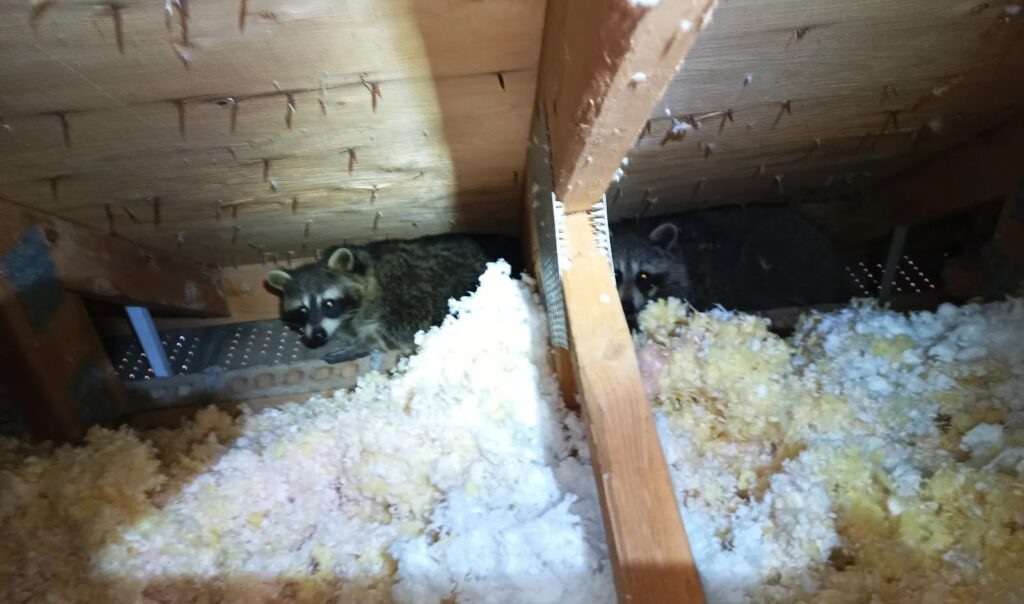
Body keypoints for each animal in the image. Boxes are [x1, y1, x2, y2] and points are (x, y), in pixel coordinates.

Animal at [266, 233, 521, 363]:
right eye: (302, 310)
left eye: (328, 304)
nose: (317, 335)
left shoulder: (396, 296)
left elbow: (390, 331)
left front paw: (364, 344)